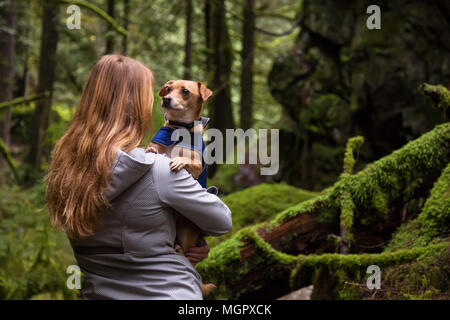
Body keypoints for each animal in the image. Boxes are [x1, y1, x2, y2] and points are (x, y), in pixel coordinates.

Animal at [146, 79, 216, 296]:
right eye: (168, 89)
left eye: (185, 91)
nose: (166, 99)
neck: (178, 129)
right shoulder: (153, 147)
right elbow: (151, 150)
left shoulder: (197, 166)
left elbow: (187, 161)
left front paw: (178, 161)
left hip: (186, 230)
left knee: (186, 256)